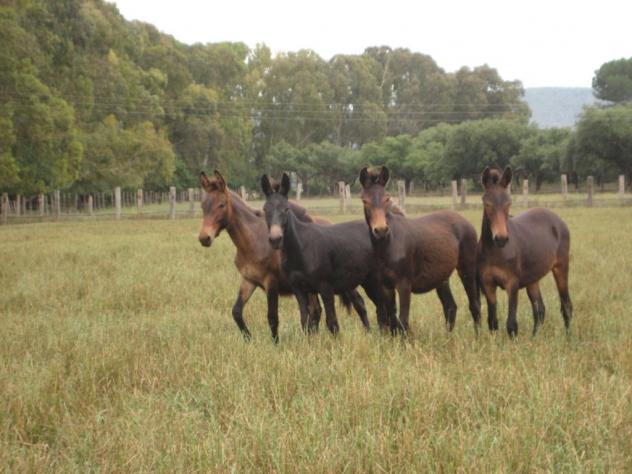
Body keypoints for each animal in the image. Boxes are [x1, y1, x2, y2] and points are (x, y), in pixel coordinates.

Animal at [198, 170, 369, 342]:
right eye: (203, 206)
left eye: (221, 204)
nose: (204, 238)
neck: (254, 242)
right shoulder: (249, 280)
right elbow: (236, 312)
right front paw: (248, 339)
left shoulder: (271, 282)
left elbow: (272, 317)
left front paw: (276, 343)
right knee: (317, 310)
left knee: (358, 303)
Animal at [261, 173, 399, 335]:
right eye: (265, 210)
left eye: (286, 209)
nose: (275, 239)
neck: (300, 248)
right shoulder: (299, 290)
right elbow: (305, 321)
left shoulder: (325, 287)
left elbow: (332, 323)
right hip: (367, 281)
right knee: (378, 308)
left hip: (375, 280)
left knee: (383, 308)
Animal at [359, 166, 481, 333]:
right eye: (365, 200)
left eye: (387, 199)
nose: (381, 230)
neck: (389, 244)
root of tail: (463, 220)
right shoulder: (385, 287)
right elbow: (391, 320)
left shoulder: (404, 285)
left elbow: (402, 321)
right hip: (441, 277)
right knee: (450, 306)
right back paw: (448, 336)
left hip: (466, 269)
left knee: (474, 304)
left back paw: (479, 335)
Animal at [477, 166, 573, 337]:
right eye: (486, 203)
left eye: (508, 203)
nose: (501, 238)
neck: (494, 252)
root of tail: (558, 220)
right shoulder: (488, 284)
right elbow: (492, 321)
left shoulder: (512, 284)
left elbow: (511, 324)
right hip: (532, 279)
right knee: (540, 309)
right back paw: (534, 338)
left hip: (561, 268)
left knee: (566, 306)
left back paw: (568, 338)